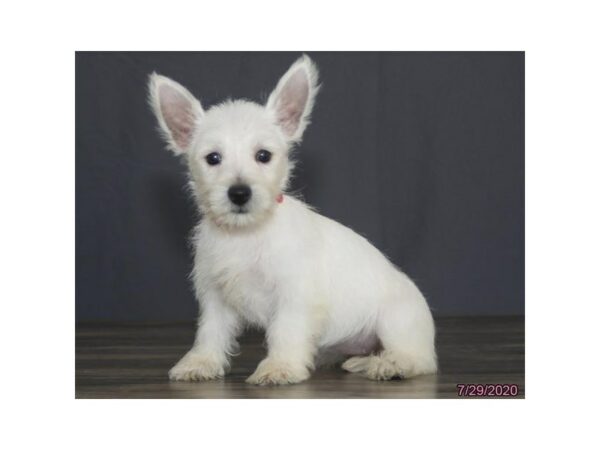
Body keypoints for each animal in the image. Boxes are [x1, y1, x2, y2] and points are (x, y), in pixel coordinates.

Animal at [146, 54, 436, 384]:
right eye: (213, 158)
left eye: (263, 155)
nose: (239, 193)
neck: (247, 234)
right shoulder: (215, 297)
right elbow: (210, 332)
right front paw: (201, 362)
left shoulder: (294, 295)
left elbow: (285, 331)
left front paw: (279, 366)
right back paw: (358, 361)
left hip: (395, 321)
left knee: (417, 360)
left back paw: (388, 365)